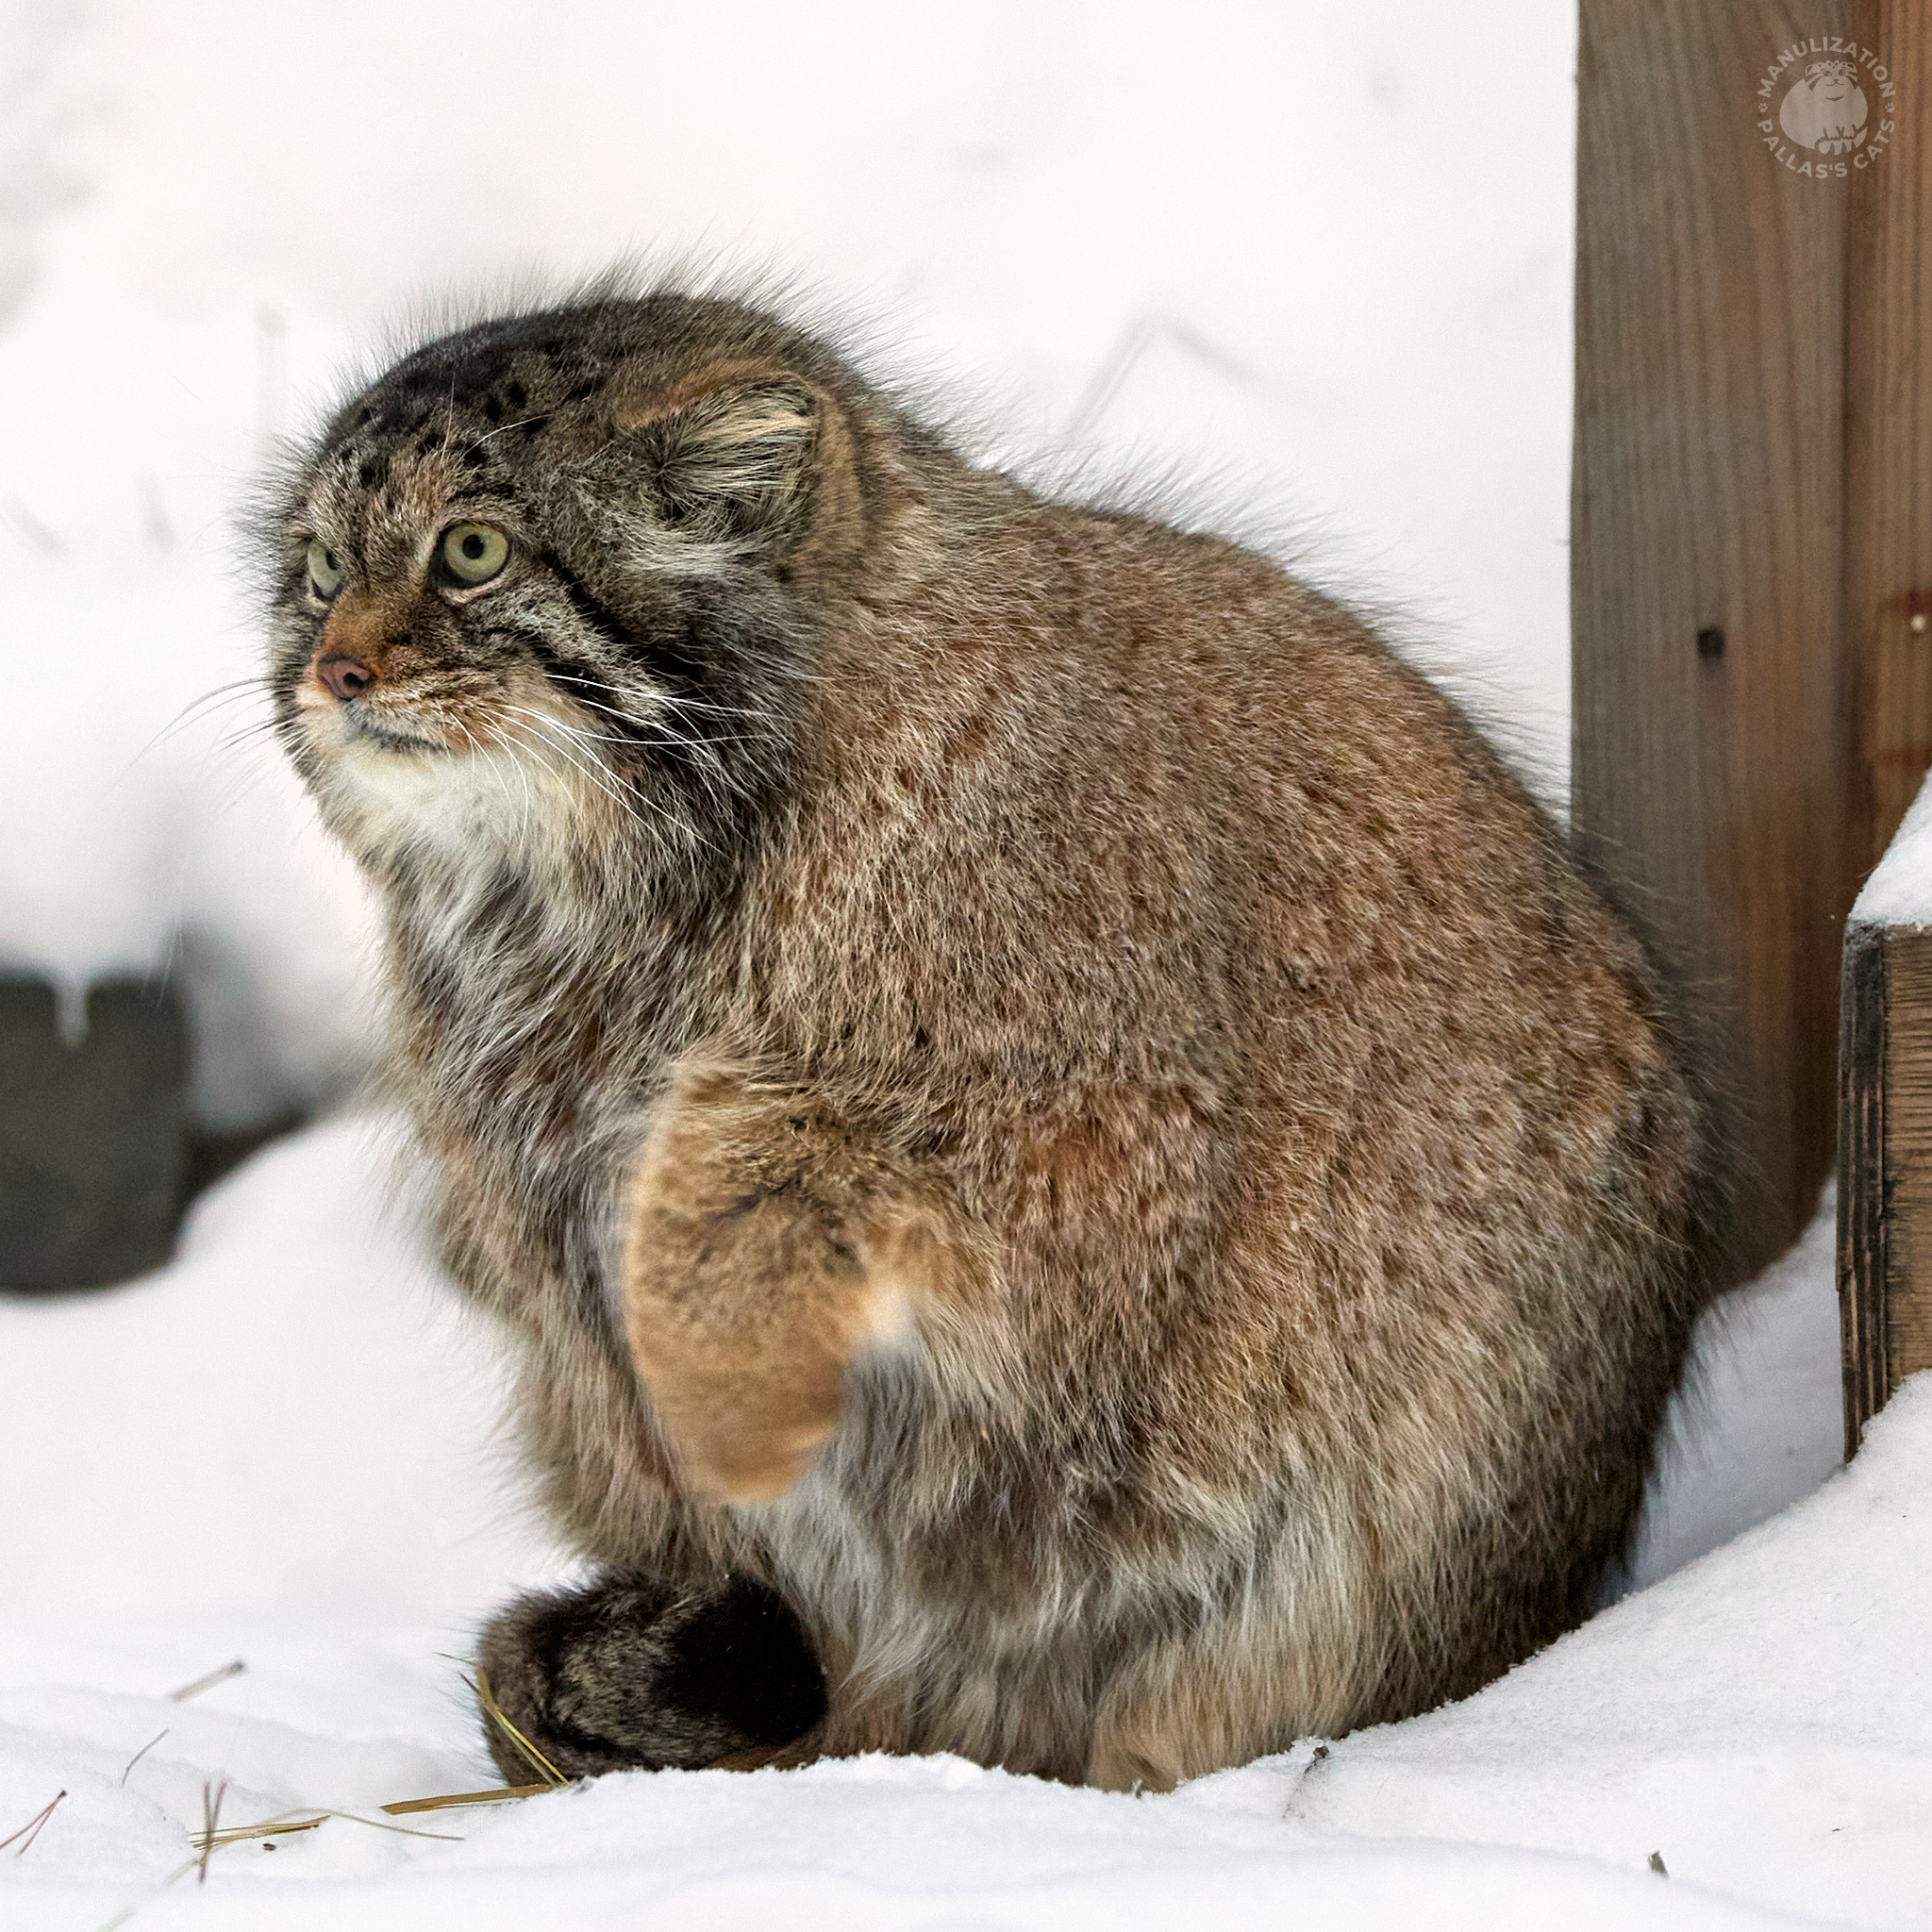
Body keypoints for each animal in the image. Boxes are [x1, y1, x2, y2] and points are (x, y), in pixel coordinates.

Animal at [257, 286, 1723, 1792]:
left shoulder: (1102, 1153)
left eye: (471, 552)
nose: (330, 668)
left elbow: (771, 1164)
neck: (608, 895)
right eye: (317, 565)